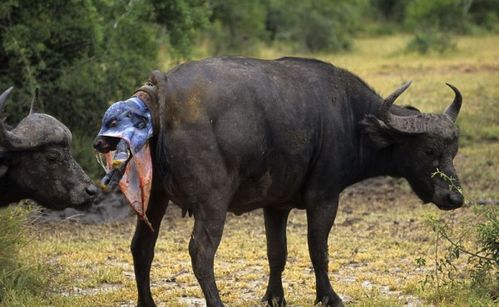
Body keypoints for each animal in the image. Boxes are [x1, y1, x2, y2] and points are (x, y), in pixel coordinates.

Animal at [94, 56, 464, 306]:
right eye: (429, 150)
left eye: (454, 150)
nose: (455, 198)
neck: (349, 118)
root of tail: (162, 89)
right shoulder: (324, 197)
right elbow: (318, 250)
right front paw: (329, 296)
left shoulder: (275, 205)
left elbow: (278, 252)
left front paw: (275, 297)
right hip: (211, 203)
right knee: (200, 251)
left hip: (154, 197)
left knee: (142, 246)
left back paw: (148, 303)